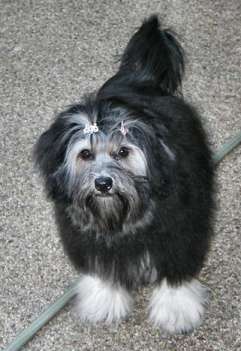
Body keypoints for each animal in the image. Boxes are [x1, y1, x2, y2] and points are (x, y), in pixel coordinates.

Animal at [34, 15, 215, 336]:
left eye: (122, 152)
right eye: (85, 154)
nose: (103, 183)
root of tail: (140, 78)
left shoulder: (180, 230)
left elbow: (175, 270)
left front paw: (175, 308)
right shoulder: (87, 237)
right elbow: (103, 267)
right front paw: (105, 298)